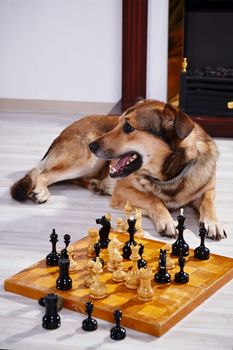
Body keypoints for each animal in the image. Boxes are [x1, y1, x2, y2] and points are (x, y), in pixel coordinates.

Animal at [10, 100, 226, 239]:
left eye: (128, 127)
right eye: (119, 121)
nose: (92, 146)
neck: (169, 175)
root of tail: (65, 130)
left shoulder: (207, 189)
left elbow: (208, 203)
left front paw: (213, 223)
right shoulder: (124, 190)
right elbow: (153, 199)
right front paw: (166, 220)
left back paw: (97, 185)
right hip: (86, 161)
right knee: (43, 173)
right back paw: (41, 190)